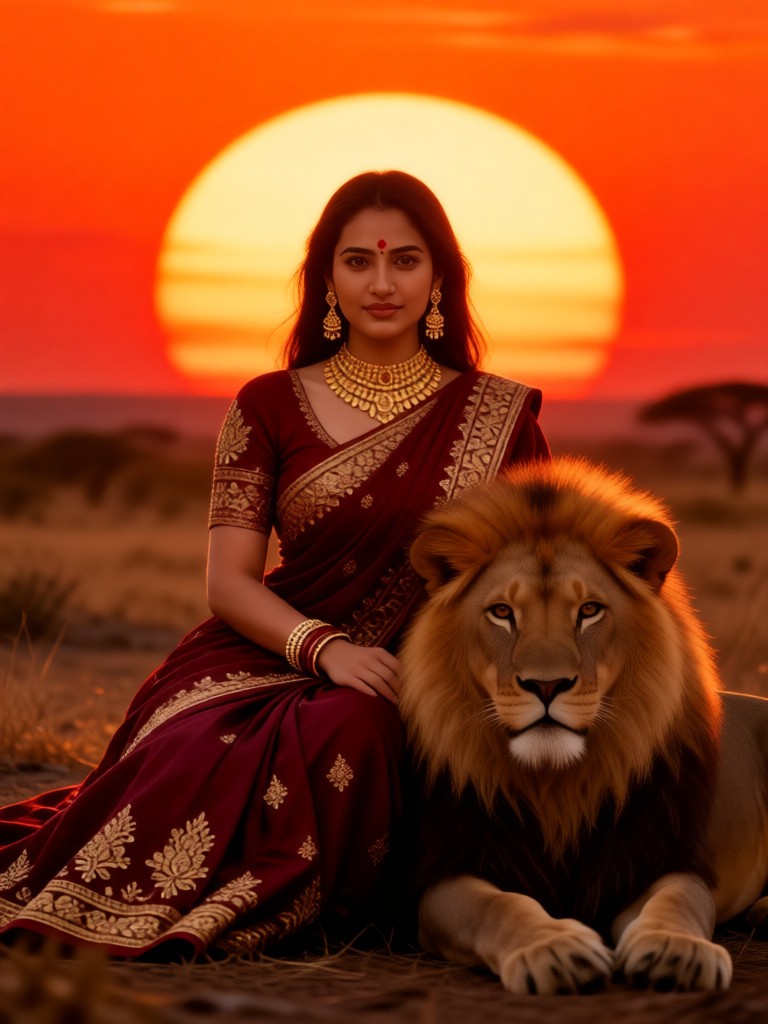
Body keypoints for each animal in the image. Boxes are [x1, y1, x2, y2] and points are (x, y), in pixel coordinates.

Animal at [399, 457, 768, 995]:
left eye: (589, 611)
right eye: (502, 613)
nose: (546, 684)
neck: (558, 786)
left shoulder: (665, 857)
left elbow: (676, 902)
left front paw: (676, 950)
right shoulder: (447, 872)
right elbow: (499, 905)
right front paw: (554, 950)